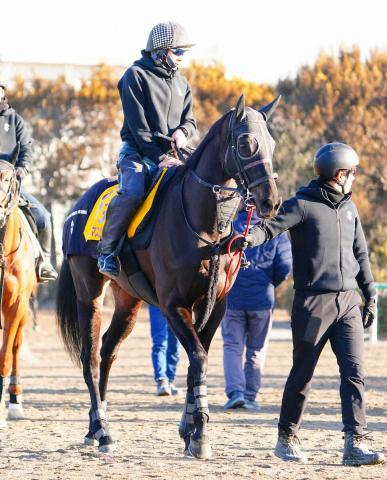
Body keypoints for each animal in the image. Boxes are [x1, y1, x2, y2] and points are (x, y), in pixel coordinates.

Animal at [56, 94, 282, 458]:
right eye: (246, 143)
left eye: (272, 143)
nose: (271, 202)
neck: (205, 225)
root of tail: (78, 206)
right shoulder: (173, 304)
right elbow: (199, 358)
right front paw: (199, 433)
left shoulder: (214, 304)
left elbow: (197, 360)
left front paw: (189, 429)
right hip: (88, 292)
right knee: (90, 357)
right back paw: (102, 431)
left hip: (128, 301)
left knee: (107, 351)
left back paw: (95, 426)